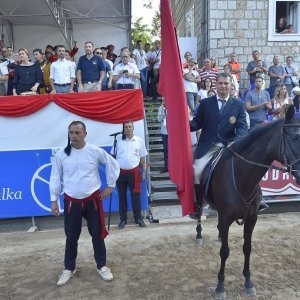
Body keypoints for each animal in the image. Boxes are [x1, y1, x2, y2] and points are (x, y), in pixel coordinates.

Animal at [195, 105, 300, 298]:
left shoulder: (252, 218)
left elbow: (247, 248)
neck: (242, 176)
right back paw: (199, 234)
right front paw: (220, 286)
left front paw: (248, 282)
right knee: (198, 213)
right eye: (295, 137)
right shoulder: (226, 218)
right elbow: (225, 252)